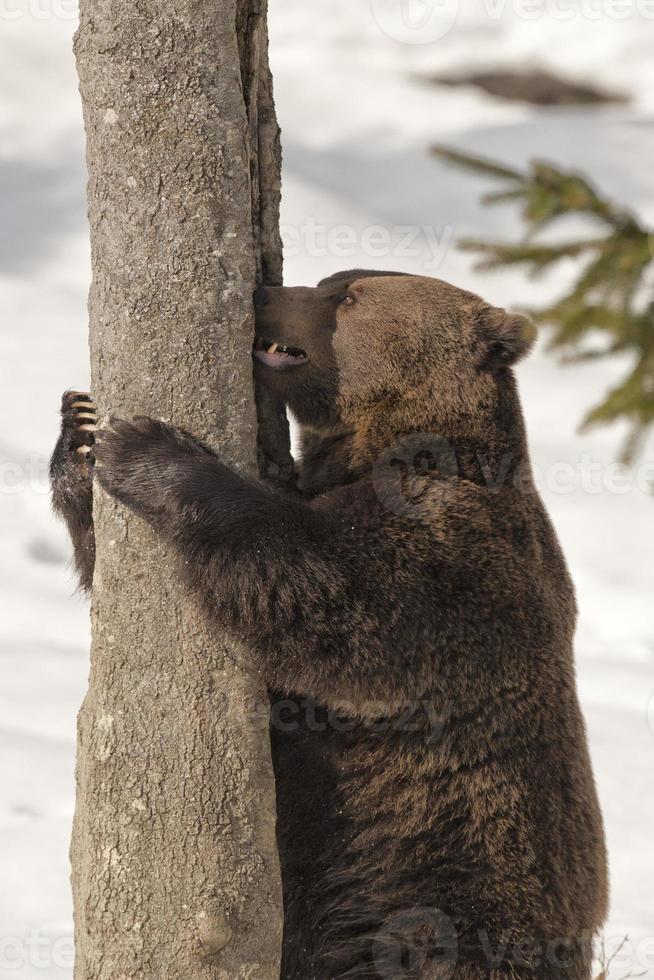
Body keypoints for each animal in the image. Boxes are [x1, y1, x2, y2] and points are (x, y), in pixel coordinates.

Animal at [51, 270, 608, 980]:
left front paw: (150, 451)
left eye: (348, 296)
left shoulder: (456, 559)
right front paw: (81, 426)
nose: (264, 293)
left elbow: (325, 592)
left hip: (444, 896)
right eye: (330, 280)